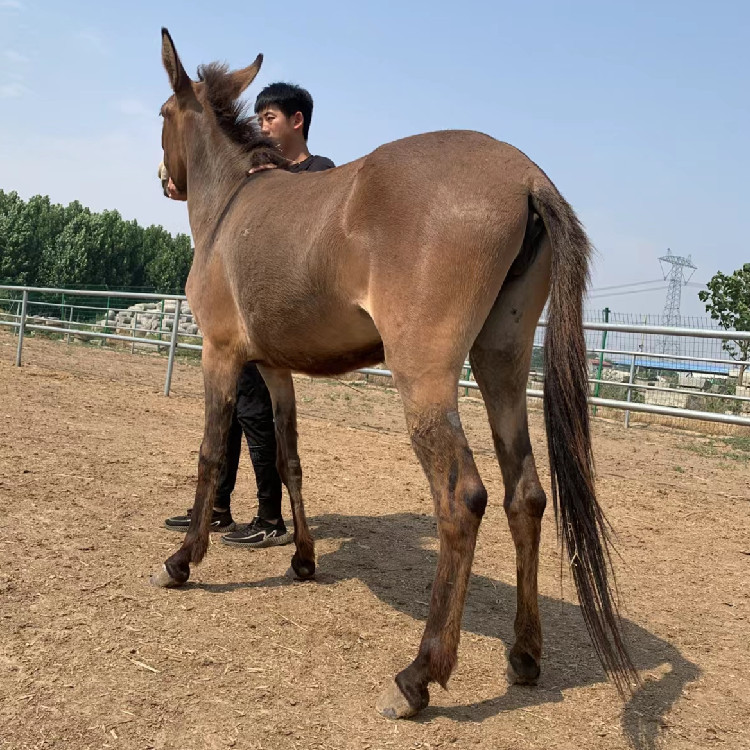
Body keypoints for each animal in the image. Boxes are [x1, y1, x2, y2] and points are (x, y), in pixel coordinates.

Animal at [153, 28, 636, 718]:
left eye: (162, 115)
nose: (163, 178)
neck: (234, 206)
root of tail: (526, 176)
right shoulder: (274, 367)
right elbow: (290, 456)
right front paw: (302, 559)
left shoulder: (221, 356)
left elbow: (212, 453)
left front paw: (184, 559)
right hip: (502, 366)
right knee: (525, 495)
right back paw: (523, 655)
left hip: (425, 378)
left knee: (463, 498)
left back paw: (419, 675)